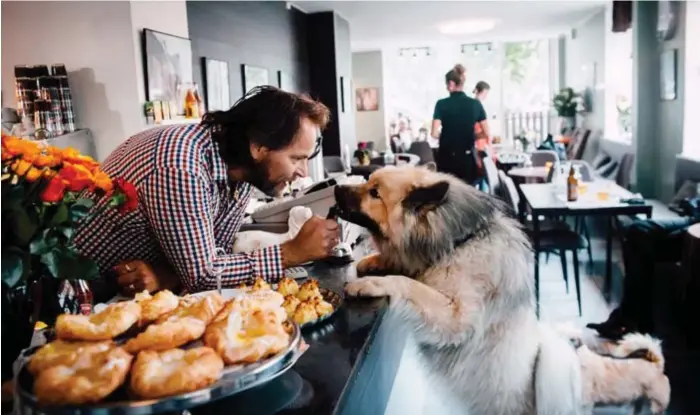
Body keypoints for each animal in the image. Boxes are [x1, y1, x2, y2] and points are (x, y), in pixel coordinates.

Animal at [336, 167, 584, 415]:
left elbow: (407, 283)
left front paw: (370, 283)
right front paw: (372, 261)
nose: (336, 187)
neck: (458, 242)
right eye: (368, 181)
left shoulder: (456, 318)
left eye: (374, 193)